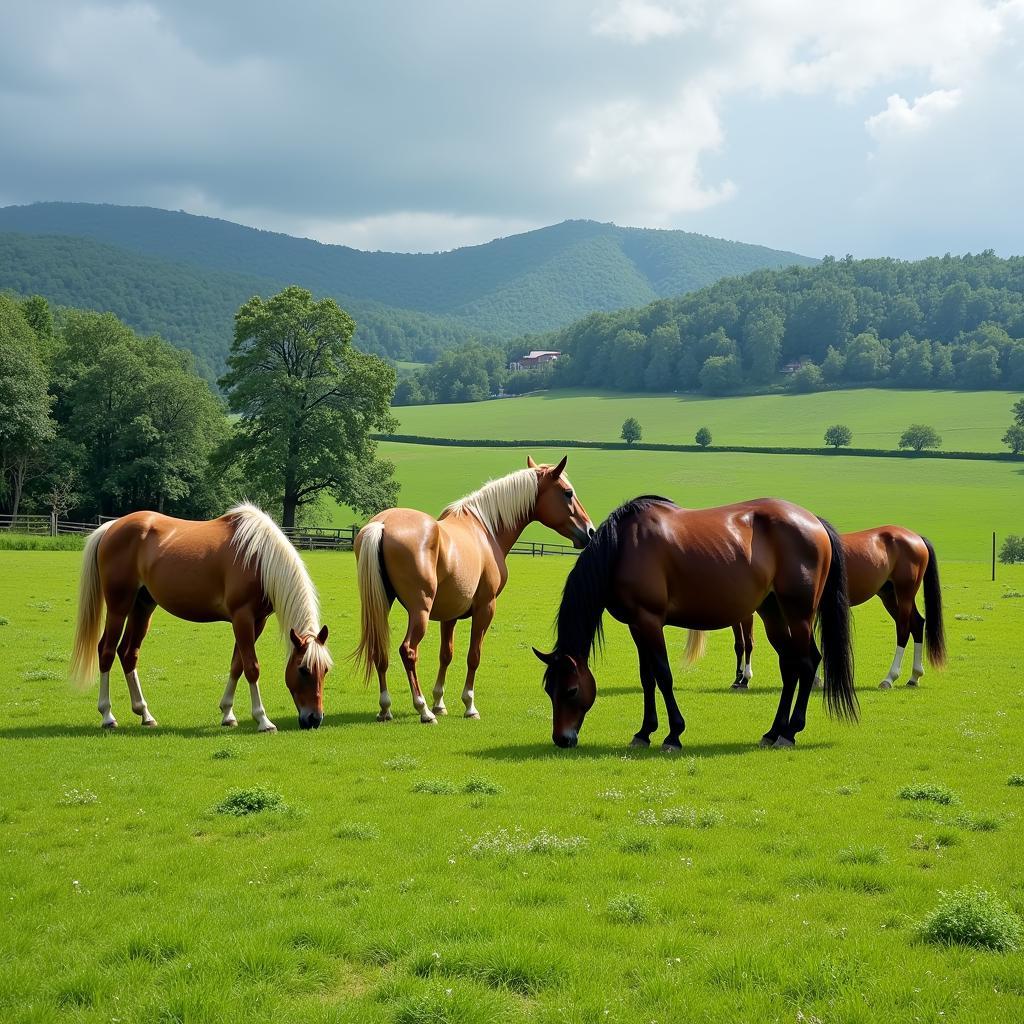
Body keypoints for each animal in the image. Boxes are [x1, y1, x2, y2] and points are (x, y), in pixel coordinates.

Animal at [69, 501, 331, 729]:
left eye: (325, 670)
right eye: (303, 669)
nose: (314, 719)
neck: (258, 557)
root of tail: (112, 526)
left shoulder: (258, 621)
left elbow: (237, 665)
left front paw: (227, 714)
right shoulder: (242, 617)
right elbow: (251, 667)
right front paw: (263, 720)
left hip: (142, 606)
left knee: (128, 653)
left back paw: (145, 714)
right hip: (119, 606)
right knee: (106, 651)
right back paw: (107, 716)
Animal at [352, 460, 593, 724]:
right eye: (568, 493)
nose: (590, 531)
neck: (486, 530)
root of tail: (382, 524)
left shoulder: (449, 615)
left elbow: (446, 655)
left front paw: (440, 703)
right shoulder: (485, 608)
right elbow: (473, 655)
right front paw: (468, 705)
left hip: (382, 604)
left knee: (379, 650)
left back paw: (386, 708)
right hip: (420, 611)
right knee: (408, 651)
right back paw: (423, 710)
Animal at [536, 495, 856, 753]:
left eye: (571, 691)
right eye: (549, 690)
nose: (562, 739)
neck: (623, 547)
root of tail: (814, 521)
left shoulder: (650, 620)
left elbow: (663, 675)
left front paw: (673, 735)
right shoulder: (636, 625)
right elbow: (647, 677)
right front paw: (644, 732)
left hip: (798, 614)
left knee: (807, 663)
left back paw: (790, 732)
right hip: (773, 613)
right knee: (789, 667)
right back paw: (773, 732)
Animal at [729, 524, 942, 692]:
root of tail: (916, 538)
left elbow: (749, 642)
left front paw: (745, 679)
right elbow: (741, 643)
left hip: (904, 594)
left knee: (904, 629)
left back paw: (890, 678)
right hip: (890, 596)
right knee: (917, 624)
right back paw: (914, 677)